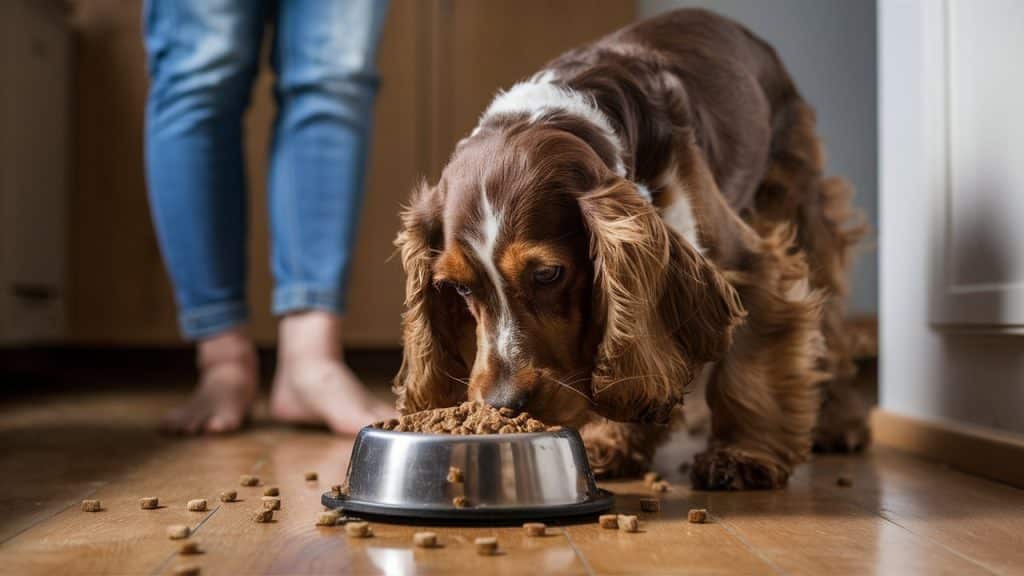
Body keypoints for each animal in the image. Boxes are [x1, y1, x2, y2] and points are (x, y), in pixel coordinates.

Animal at [391, 7, 864, 487]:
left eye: (547, 274)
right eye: (460, 288)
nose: (503, 404)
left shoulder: (750, 263)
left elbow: (748, 368)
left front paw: (742, 455)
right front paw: (608, 443)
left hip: (799, 205)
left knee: (833, 330)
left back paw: (840, 425)